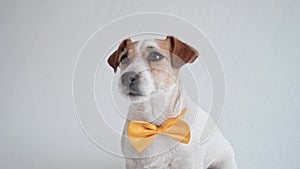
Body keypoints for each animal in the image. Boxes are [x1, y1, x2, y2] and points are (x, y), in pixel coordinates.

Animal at [107, 35, 237, 169]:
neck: (157, 123)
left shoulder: (189, 163)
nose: (126, 77)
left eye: (156, 56)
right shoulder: (132, 163)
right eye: (123, 58)